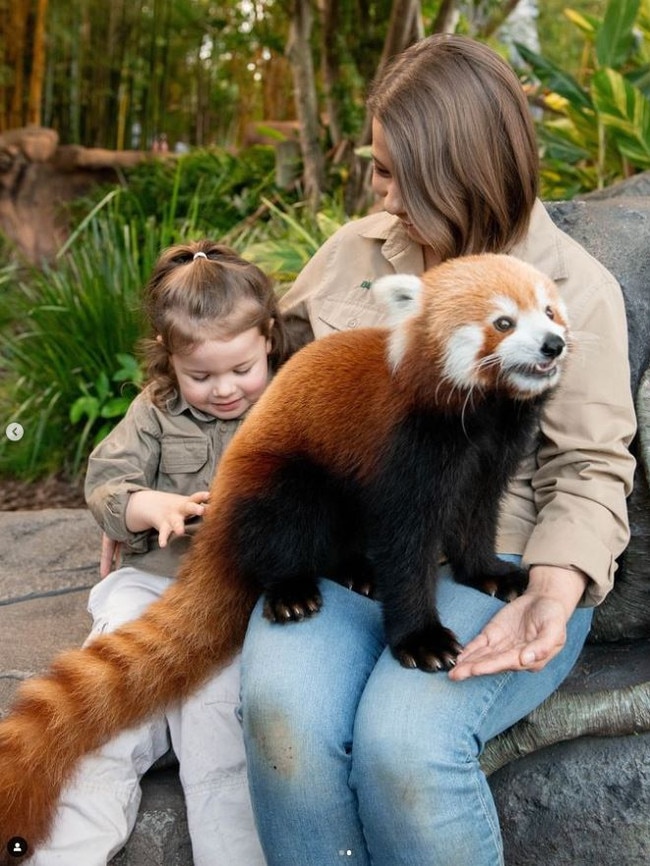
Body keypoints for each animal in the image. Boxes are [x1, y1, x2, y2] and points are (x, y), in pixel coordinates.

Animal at [0, 251, 568, 856]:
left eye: (550, 311)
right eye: (503, 322)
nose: (554, 344)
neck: (481, 412)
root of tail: (221, 508)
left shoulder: (490, 451)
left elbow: (477, 515)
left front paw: (488, 574)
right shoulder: (406, 447)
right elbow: (406, 545)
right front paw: (421, 639)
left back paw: (355, 572)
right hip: (282, 481)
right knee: (285, 524)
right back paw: (292, 591)